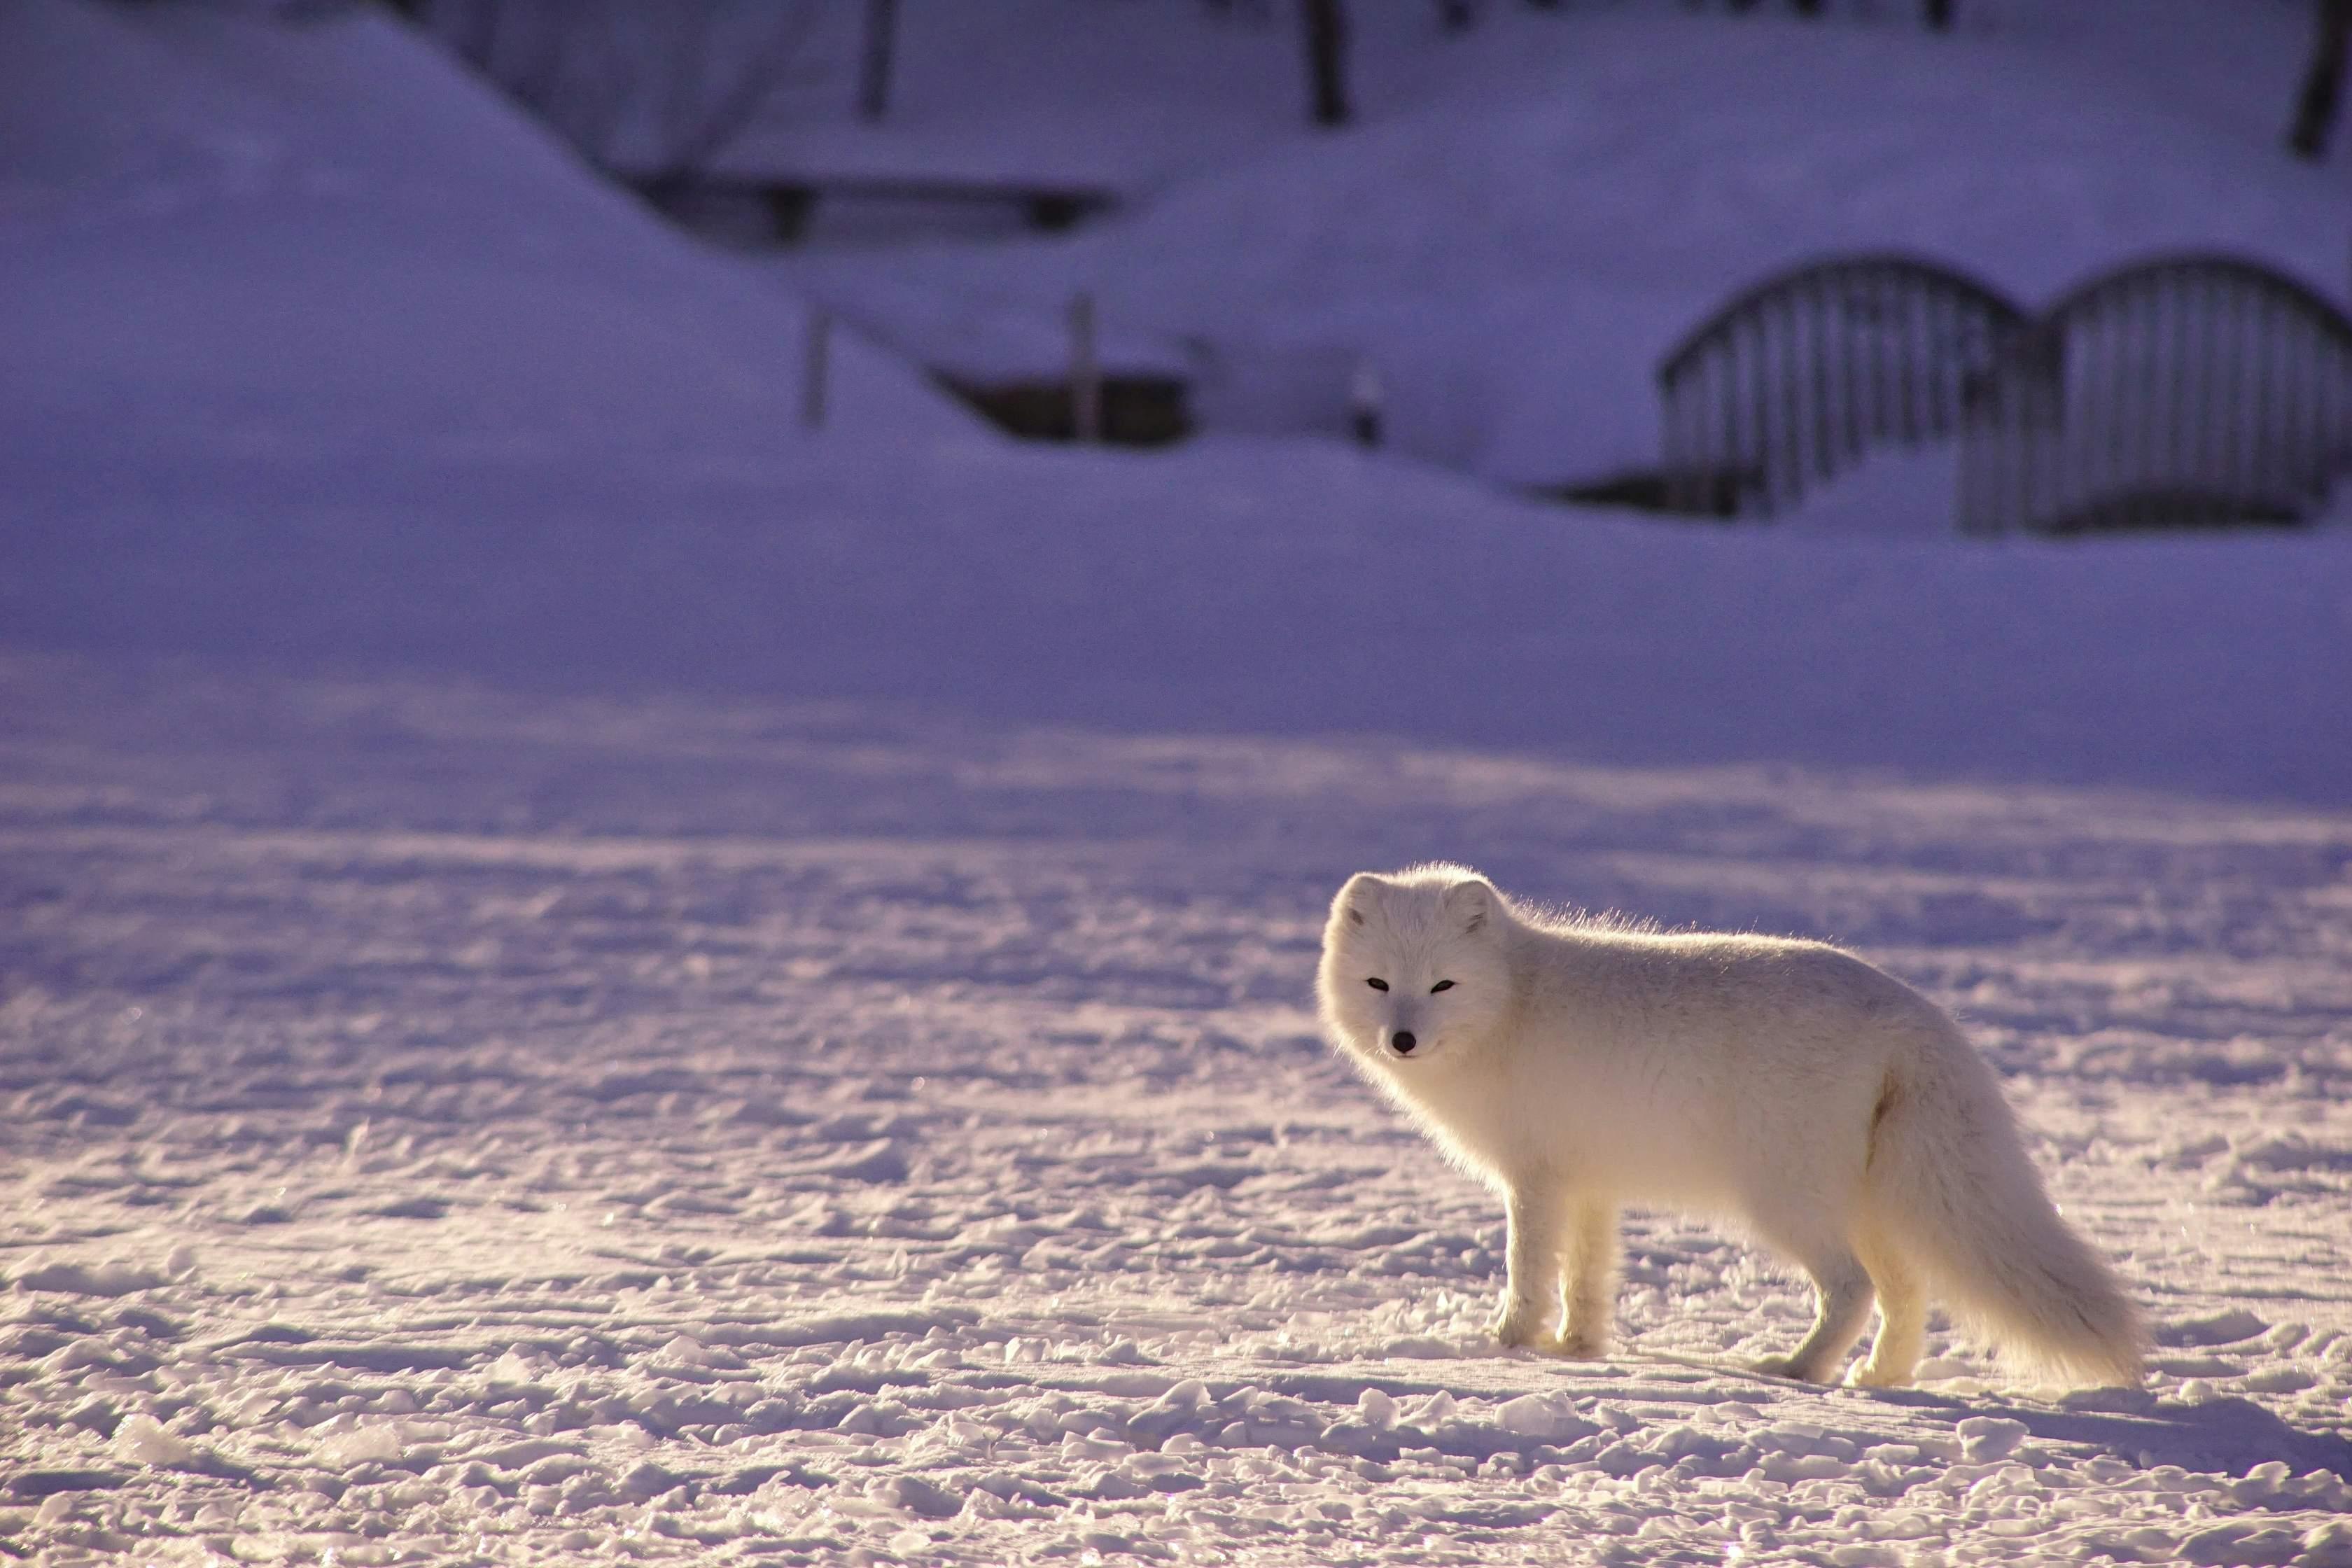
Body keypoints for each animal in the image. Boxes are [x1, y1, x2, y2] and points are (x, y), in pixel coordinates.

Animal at [1317, 864, 2145, 1392]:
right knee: (1906, 1292)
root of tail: (1916, 1014)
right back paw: (1880, 1376)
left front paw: (1506, 1344)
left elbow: (1528, 1270)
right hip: (1869, 1202)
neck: (1513, 1002)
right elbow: (1588, 1276)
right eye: (1379, 984)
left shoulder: (1536, 1179)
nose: (1402, 1040)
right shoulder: (1591, 1183)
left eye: (1443, 985)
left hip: (1784, 1200)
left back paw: (1800, 1369)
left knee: (1852, 1287)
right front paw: (1579, 1349)